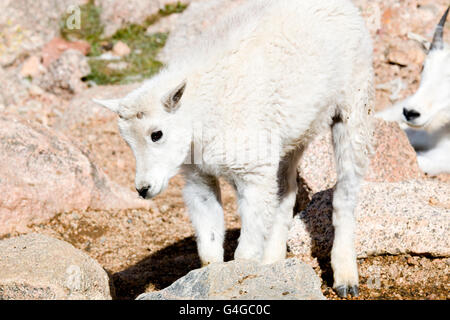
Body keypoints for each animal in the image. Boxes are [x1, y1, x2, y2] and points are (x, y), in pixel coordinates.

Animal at [94, 0, 372, 298]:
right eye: (127, 142)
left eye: (156, 134)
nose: (143, 189)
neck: (203, 112)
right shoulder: (198, 176)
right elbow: (209, 242)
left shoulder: (252, 171)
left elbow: (245, 249)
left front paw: (243, 280)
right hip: (290, 137)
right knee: (285, 192)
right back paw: (274, 264)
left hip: (354, 103)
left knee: (346, 191)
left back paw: (345, 278)